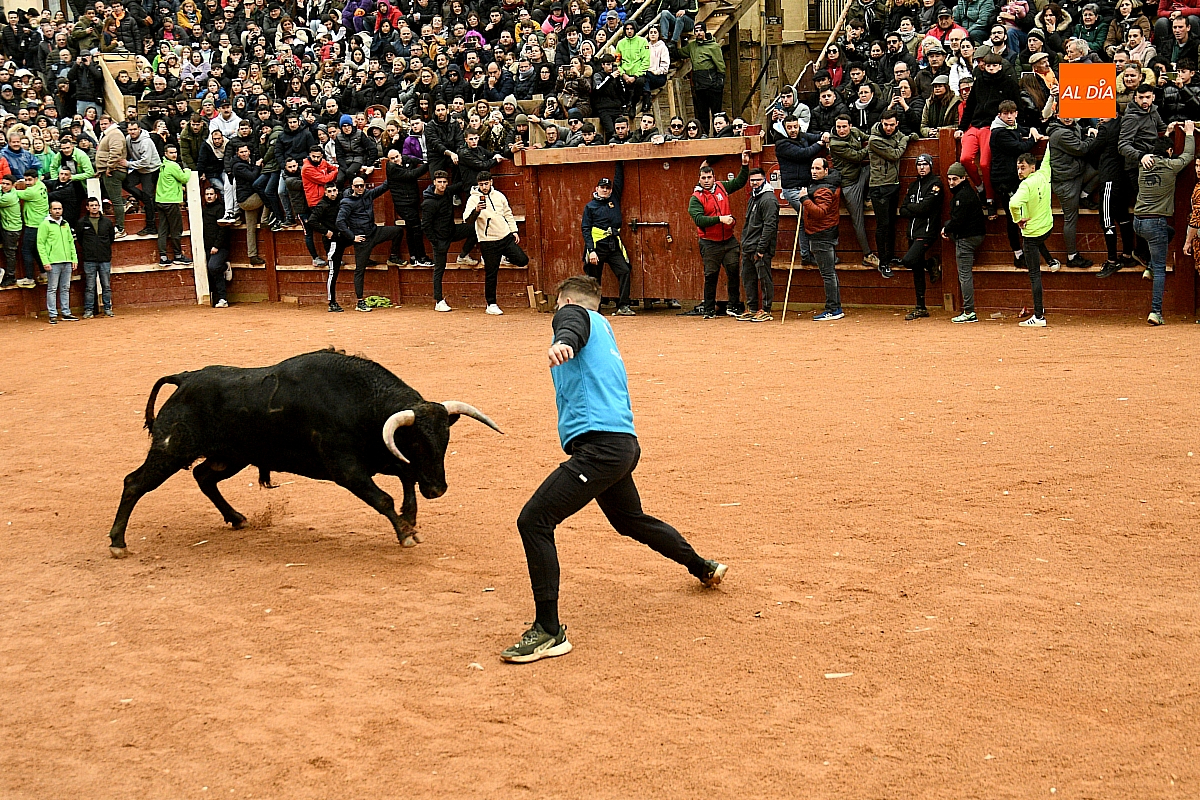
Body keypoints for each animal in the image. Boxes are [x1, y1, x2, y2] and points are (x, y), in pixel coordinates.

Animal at [108, 348, 502, 558]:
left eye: (445, 440)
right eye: (417, 442)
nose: (438, 489)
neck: (360, 402)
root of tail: (186, 377)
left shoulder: (380, 457)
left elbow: (405, 478)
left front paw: (411, 519)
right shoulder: (346, 469)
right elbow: (384, 497)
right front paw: (405, 531)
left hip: (231, 456)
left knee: (203, 476)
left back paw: (237, 518)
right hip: (170, 450)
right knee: (134, 483)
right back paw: (117, 543)